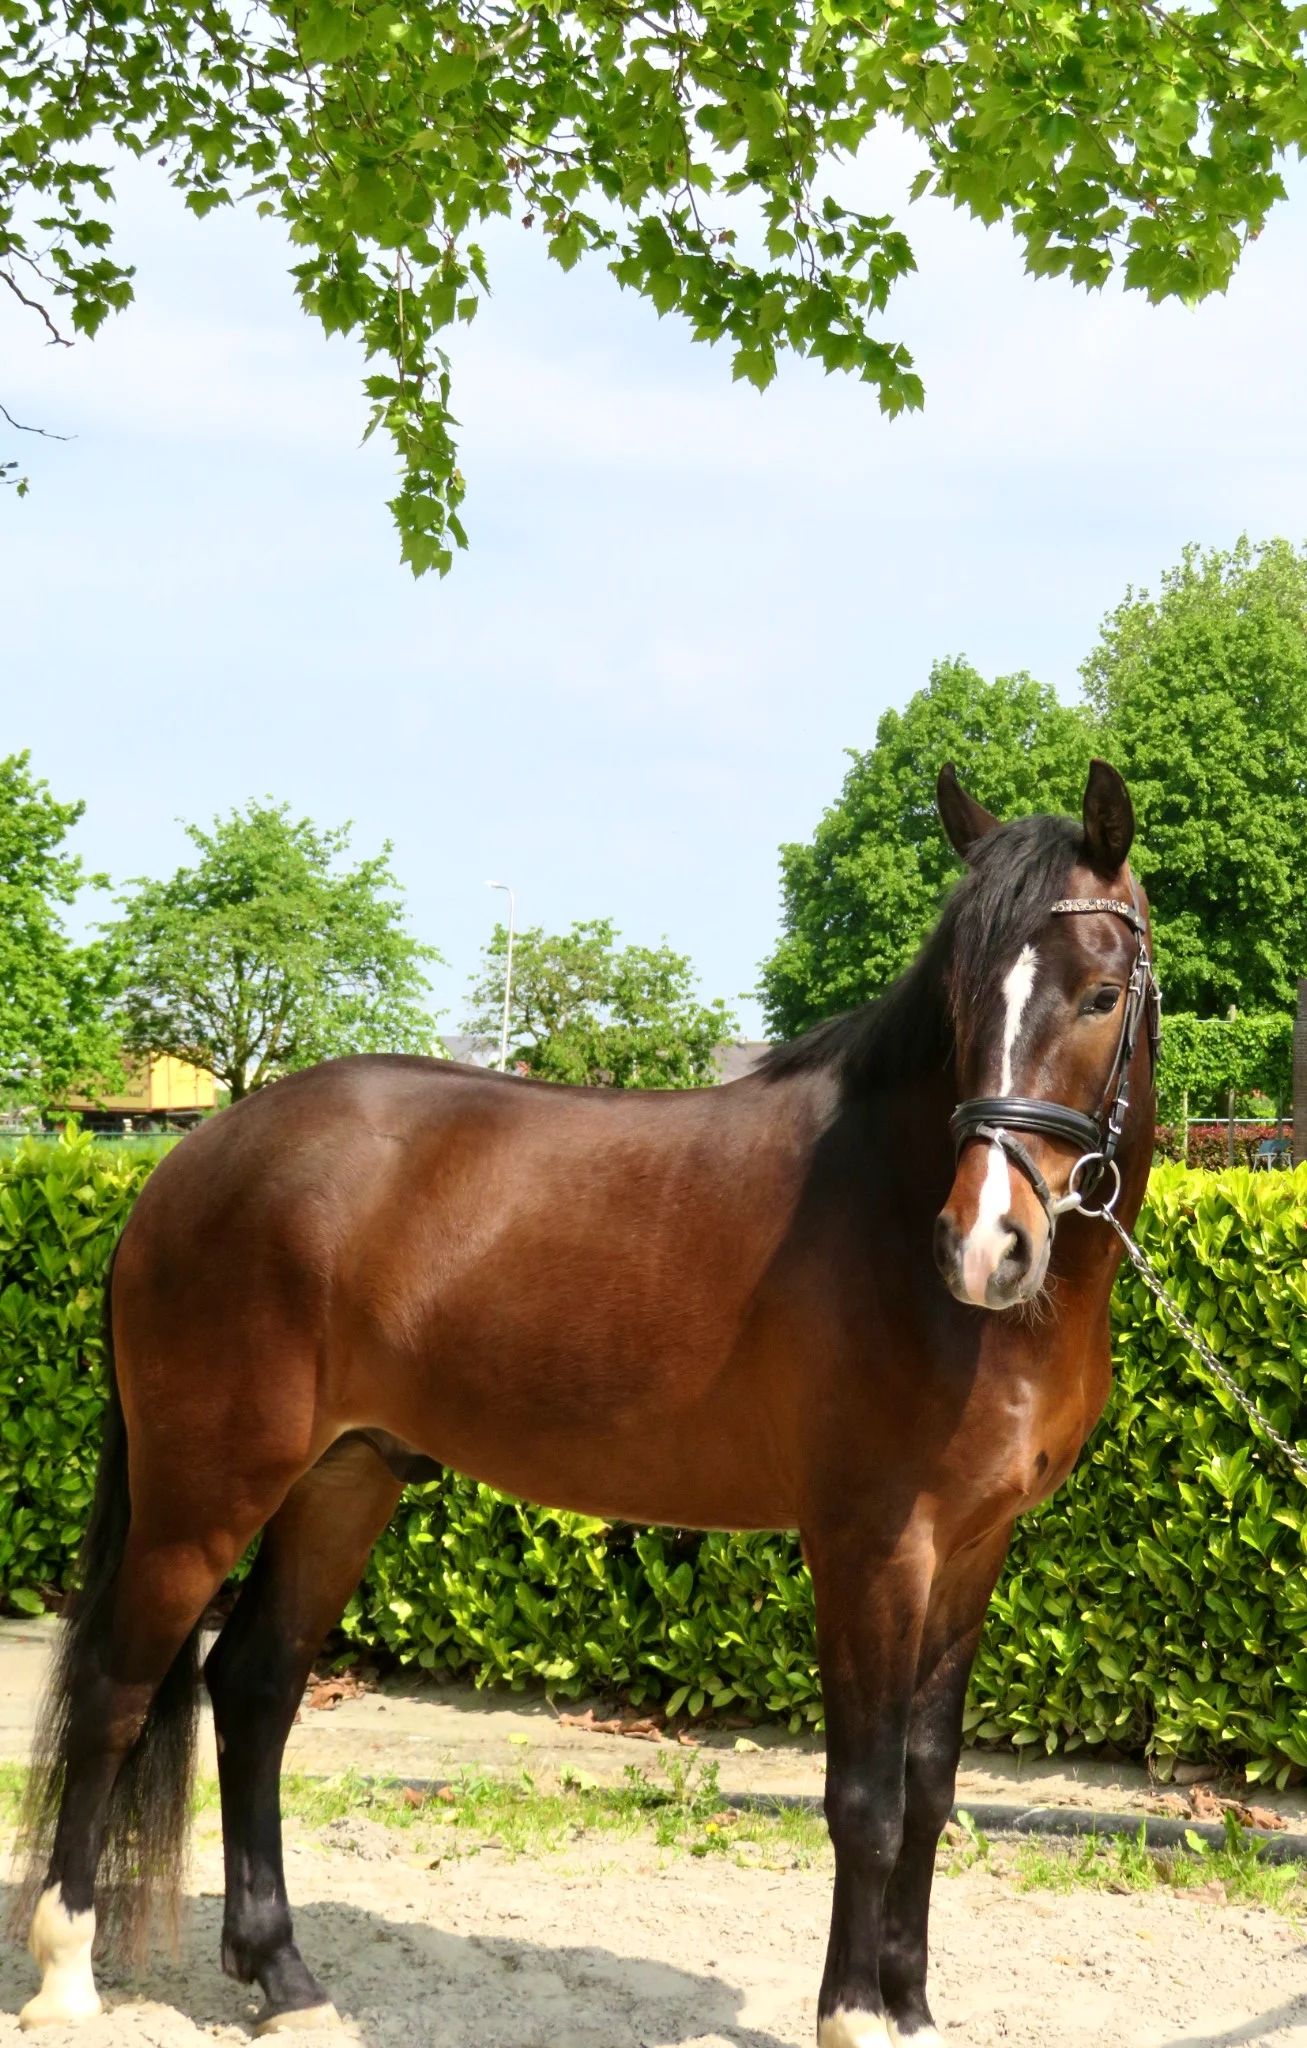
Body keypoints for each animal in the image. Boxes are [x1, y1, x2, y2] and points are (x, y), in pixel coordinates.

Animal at [16, 758, 1158, 2047]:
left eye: (1098, 995)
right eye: (960, 1004)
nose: (983, 1244)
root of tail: (185, 1161)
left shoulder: (970, 1548)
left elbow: (928, 1782)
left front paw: (907, 2009)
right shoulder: (871, 1546)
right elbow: (863, 1795)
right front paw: (854, 2016)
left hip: (342, 1477)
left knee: (252, 1687)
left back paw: (287, 1980)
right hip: (203, 1491)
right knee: (114, 1690)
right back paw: (66, 1973)